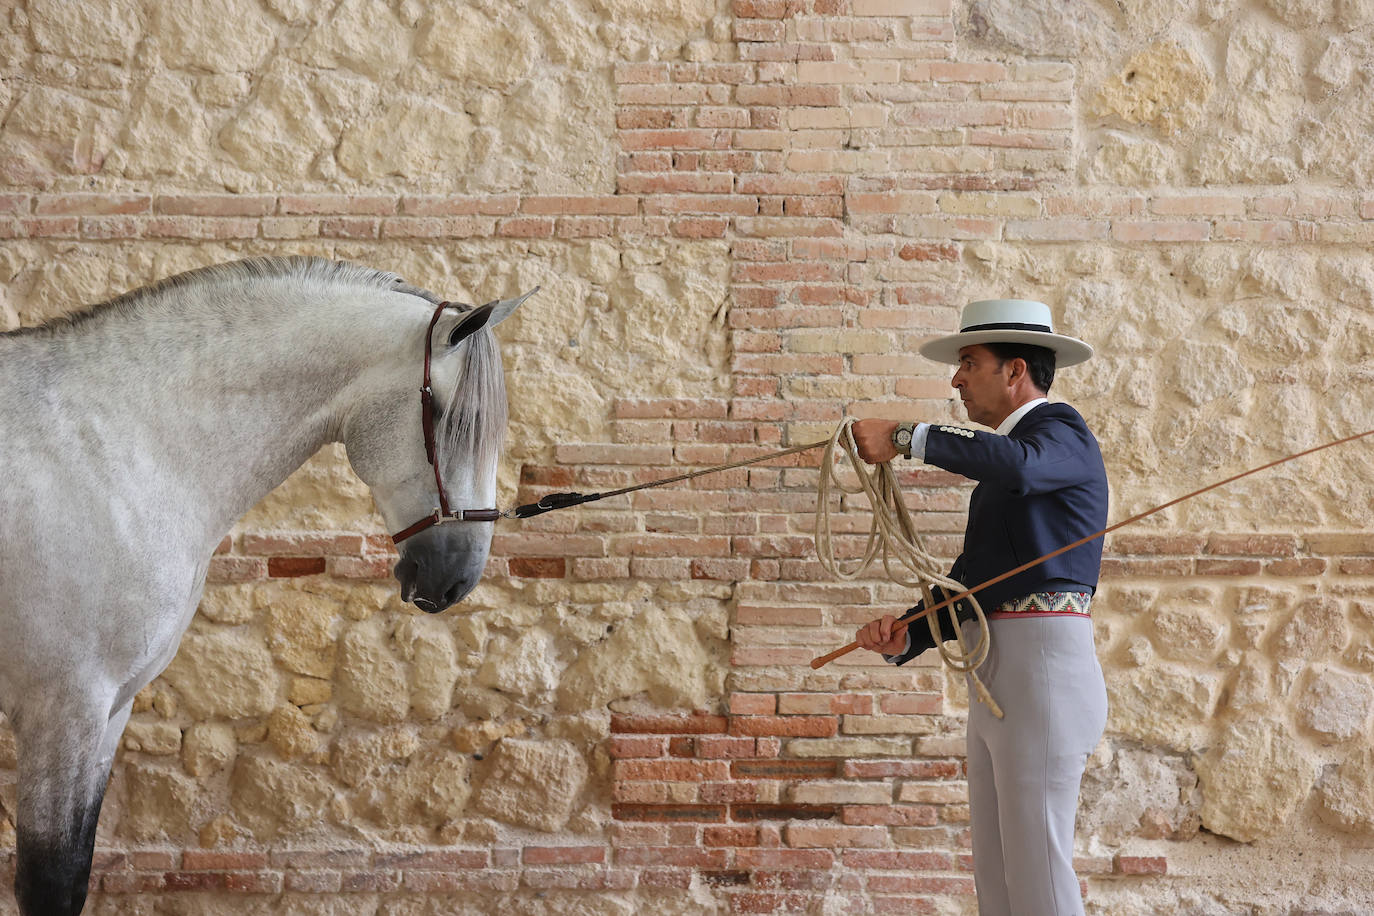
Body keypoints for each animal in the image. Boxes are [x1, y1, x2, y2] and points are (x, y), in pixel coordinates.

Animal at [0, 258, 527, 916]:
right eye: (449, 418)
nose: (457, 578)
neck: (121, 448)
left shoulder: (109, 712)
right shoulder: (63, 711)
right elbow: (52, 880)